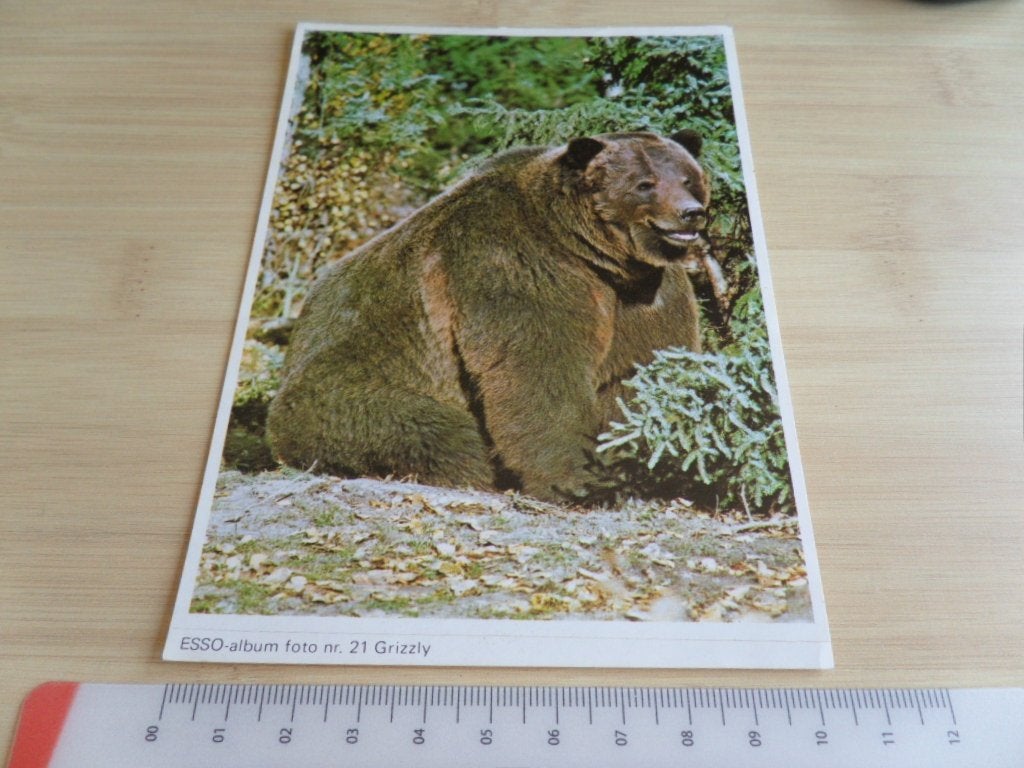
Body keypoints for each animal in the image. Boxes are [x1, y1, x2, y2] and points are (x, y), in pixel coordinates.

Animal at [266, 131, 709, 502]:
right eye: (645, 183)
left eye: (688, 179)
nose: (691, 213)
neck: (592, 255)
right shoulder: (511, 263)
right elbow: (537, 368)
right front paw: (578, 481)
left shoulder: (642, 294)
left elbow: (639, 373)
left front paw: (635, 467)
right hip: (346, 386)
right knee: (437, 431)